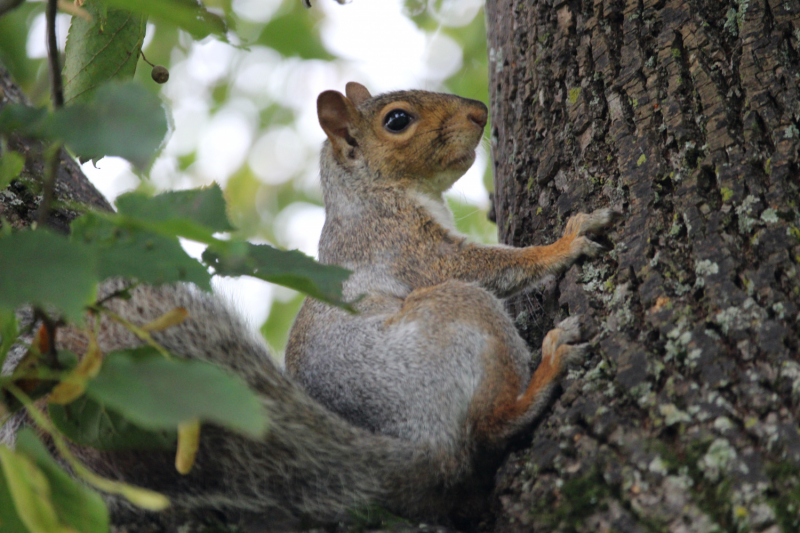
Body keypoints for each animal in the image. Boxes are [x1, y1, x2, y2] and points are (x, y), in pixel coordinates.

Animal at [1, 83, 620, 528]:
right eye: (397, 120)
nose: (479, 112)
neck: (371, 193)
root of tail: (420, 447)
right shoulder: (399, 243)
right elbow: (477, 266)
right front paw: (565, 243)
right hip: (460, 323)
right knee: (489, 426)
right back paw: (546, 369)